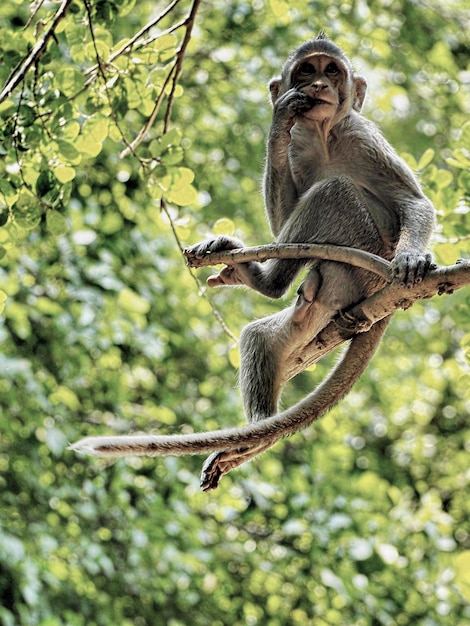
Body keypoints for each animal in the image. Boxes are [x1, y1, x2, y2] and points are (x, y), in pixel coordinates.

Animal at [71, 36, 436, 490]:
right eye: (306, 71)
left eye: (332, 71)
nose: (319, 85)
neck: (325, 134)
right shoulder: (299, 142)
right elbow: (282, 212)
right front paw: (278, 120)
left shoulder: (361, 135)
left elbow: (414, 202)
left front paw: (412, 255)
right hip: (336, 291)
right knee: (261, 337)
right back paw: (255, 433)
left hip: (362, 260)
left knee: (332, 190)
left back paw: (271, 284)